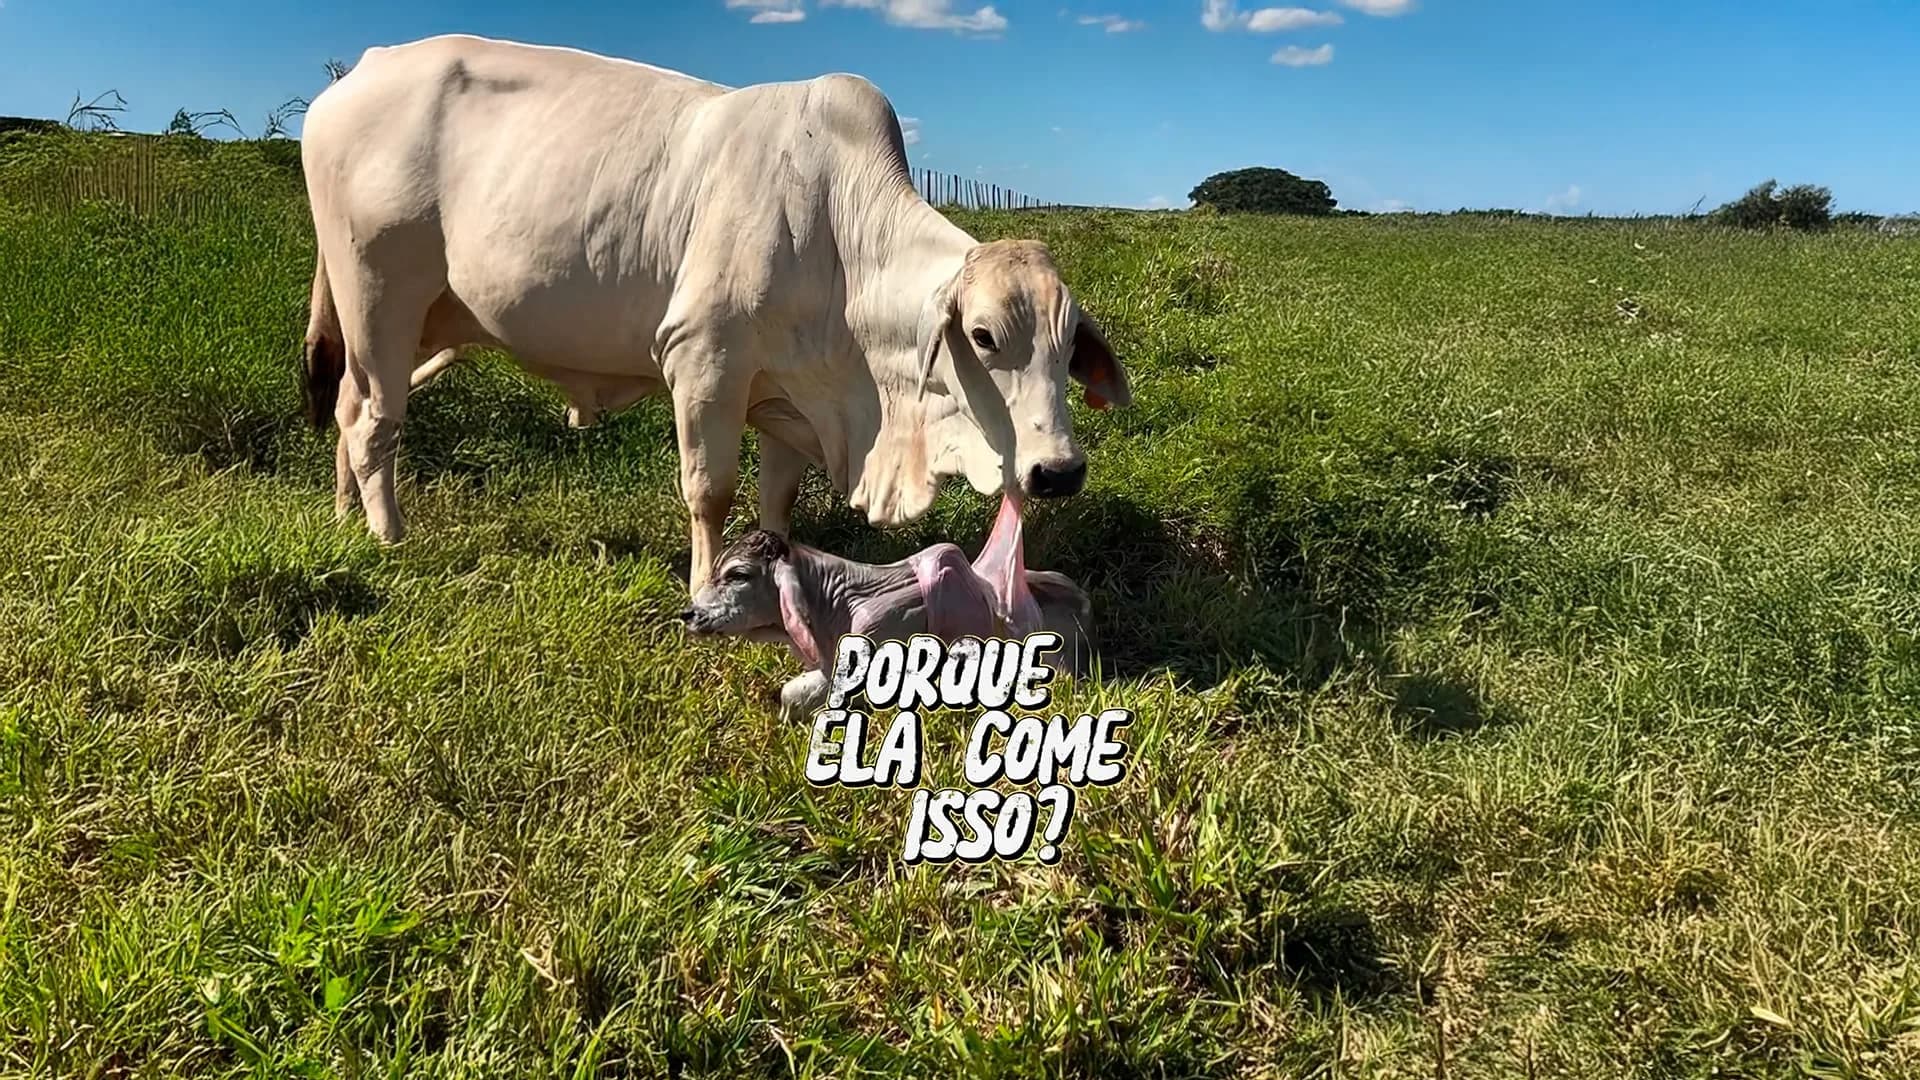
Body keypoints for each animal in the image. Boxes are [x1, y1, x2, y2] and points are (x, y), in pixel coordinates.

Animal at [299, 34, 1131, 594]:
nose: (1059, 471)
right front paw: (705, 587)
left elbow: (776, 499)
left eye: (1068, 349)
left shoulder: (792, 390)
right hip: (380, 297)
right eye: (984, 337)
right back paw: (389, 537)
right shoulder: (704, 360)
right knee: (375, 422)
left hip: (411, 320)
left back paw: (342, 518)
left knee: (345, 406)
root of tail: (362, 71)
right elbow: (711, 489)